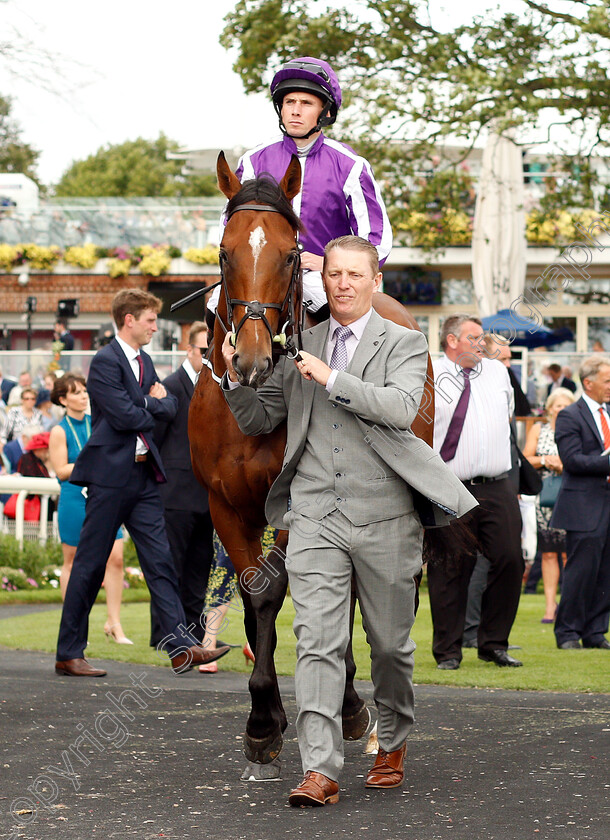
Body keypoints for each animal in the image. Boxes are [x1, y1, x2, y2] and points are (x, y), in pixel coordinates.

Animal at [189, 153, 432, 780]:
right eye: (224, 250)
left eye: (291, 253)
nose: (250, 359)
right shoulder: (224, 504)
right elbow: (254, 598)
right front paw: (264, 720)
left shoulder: (296, 503)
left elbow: (281, 593)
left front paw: (277, 719)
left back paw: (351, 705)